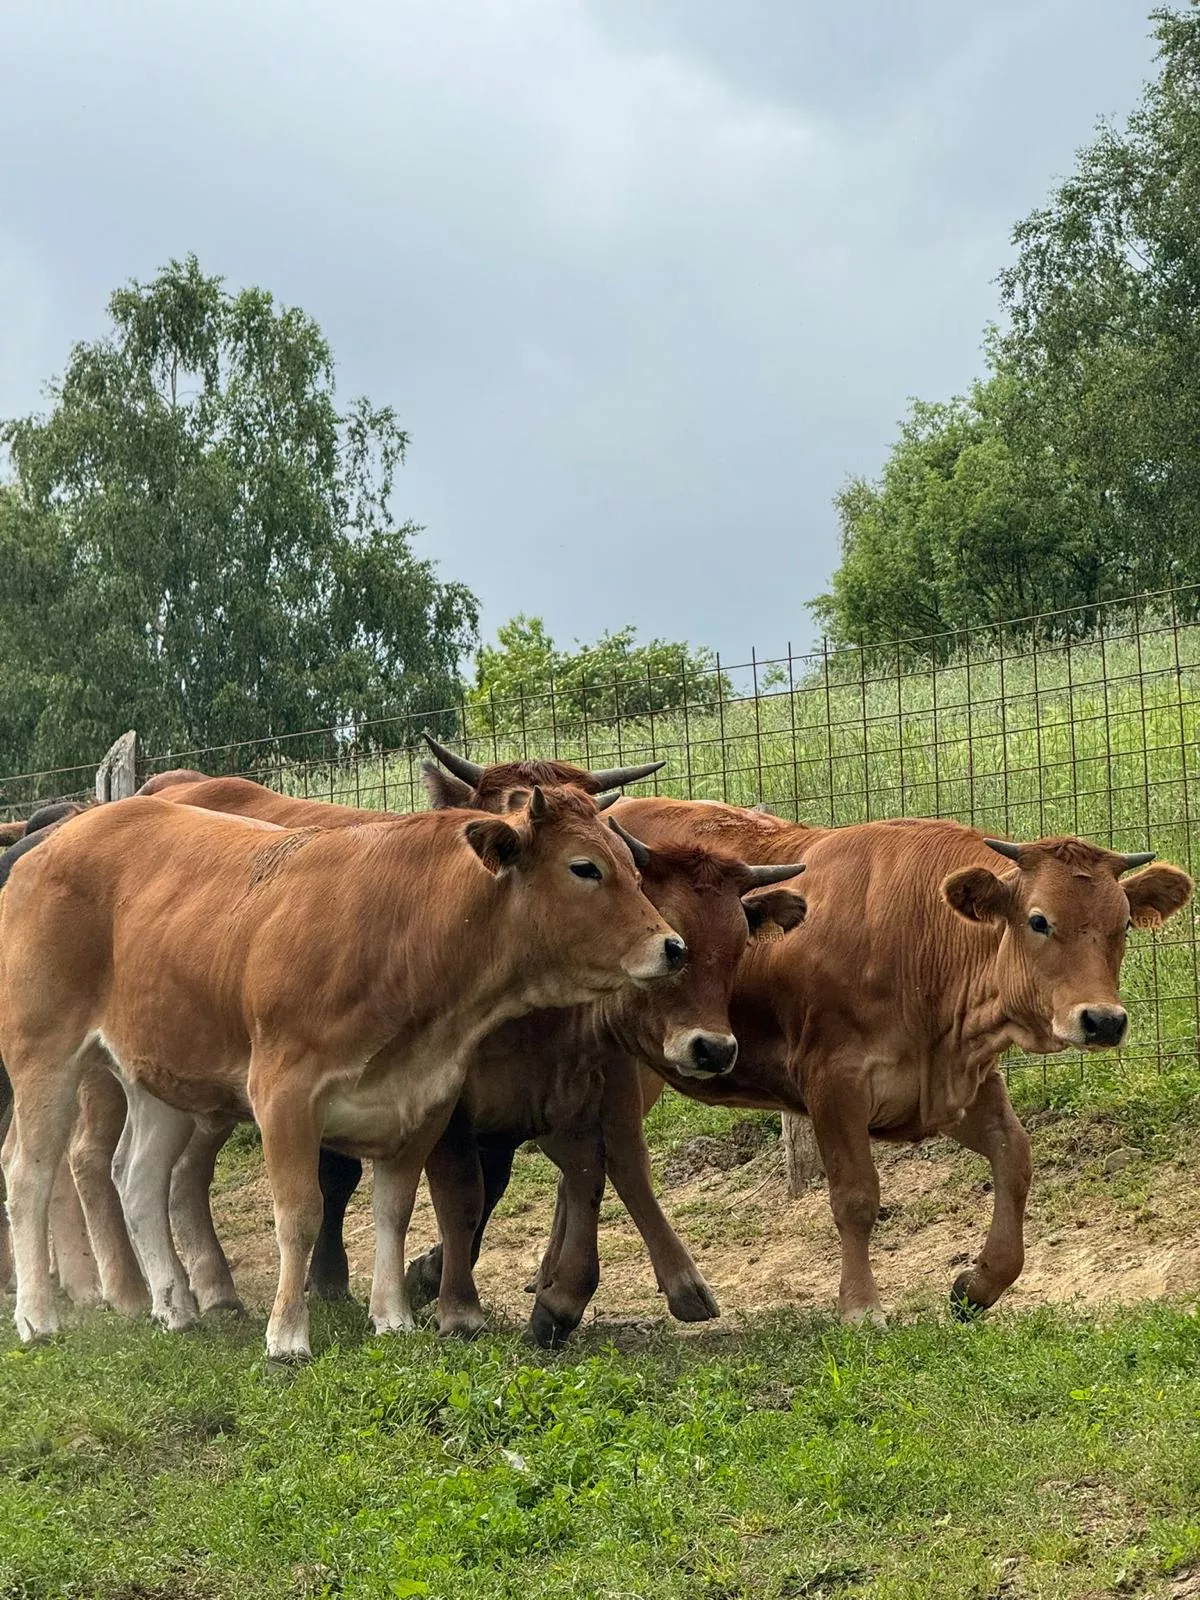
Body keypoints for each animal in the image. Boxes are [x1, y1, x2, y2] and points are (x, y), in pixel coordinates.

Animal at [0, 784, 684, 1350]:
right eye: (584, 867)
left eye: (632, 867)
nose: (674, 946)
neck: (402, 933)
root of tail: (57, 839)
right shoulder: (283, 1093)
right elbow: (300, 1214)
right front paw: (287, 1335)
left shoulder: (422, 1099)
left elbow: (393, 1212)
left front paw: (393, 1317)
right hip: (44, 1054)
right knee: (30, 1173)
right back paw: (38, 1314)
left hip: (160, 1075)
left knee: (138, 1177)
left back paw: (174, 1305)